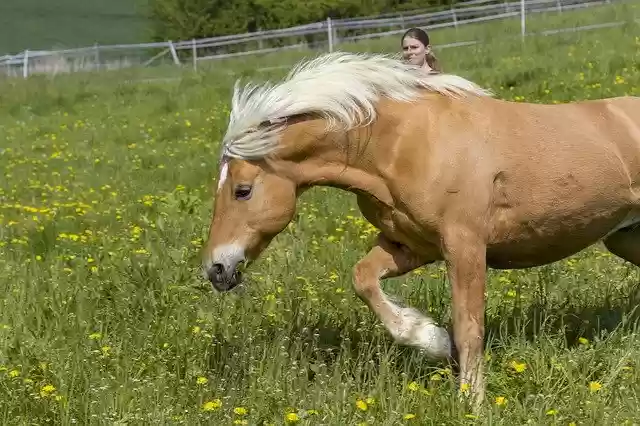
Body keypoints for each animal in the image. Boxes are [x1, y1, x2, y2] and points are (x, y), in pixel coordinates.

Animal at [201, 51, 640, 409]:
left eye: (242, 190)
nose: (216, 269)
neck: (405, 145)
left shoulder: (465, 246)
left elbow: (468, 328)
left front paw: (470, 400)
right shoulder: (410, 246)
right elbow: (363, 279)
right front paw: (431, 339)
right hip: (624, 238)